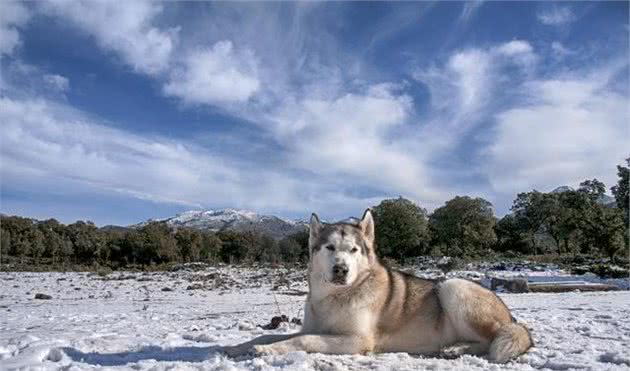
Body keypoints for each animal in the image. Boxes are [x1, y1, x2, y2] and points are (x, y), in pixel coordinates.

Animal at [225, 211, 536, 364]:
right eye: (329, 248)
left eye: (353, 250)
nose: (341, 269)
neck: (337, 297)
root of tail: (512, 317)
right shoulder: (312, 326)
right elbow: (265, 336)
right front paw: (240, 346)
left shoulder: (357, 340)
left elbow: (304, 341)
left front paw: (268, 352)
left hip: (452, 287)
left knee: (492, 339)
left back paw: (456, 349)